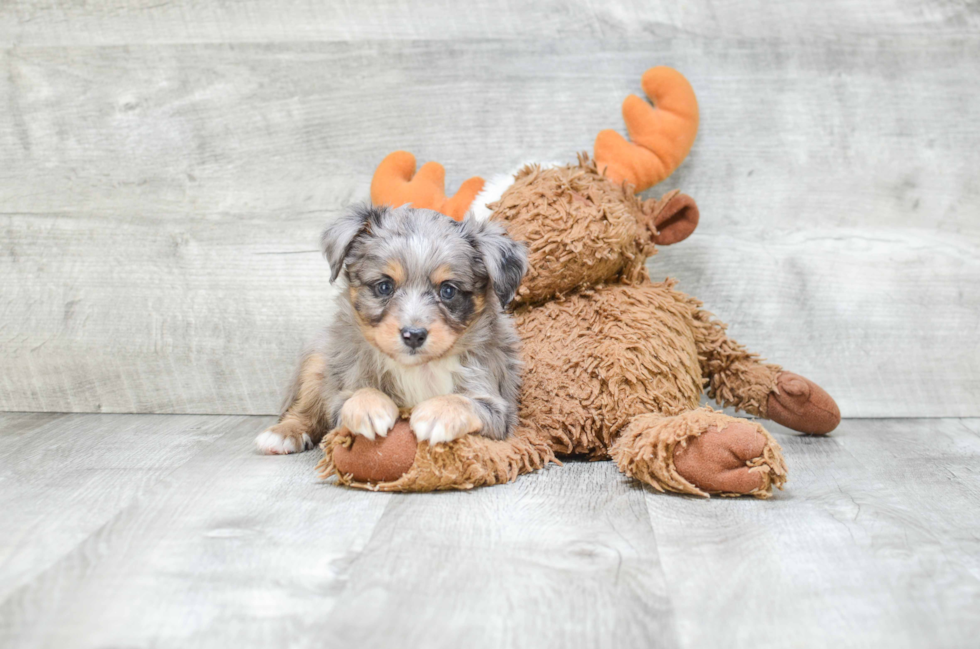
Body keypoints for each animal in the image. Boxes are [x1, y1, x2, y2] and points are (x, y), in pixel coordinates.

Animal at [255, 205, 528, 454]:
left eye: (448, 290)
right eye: (385, 286)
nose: (414, 336)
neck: (418, 368)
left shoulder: (497, 405)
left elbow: (465, 401)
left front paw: (437, 413)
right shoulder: (341, 392)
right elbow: (356, 394)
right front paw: (368, 407)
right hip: (317, 362)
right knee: (305, 408)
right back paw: (283, 433)